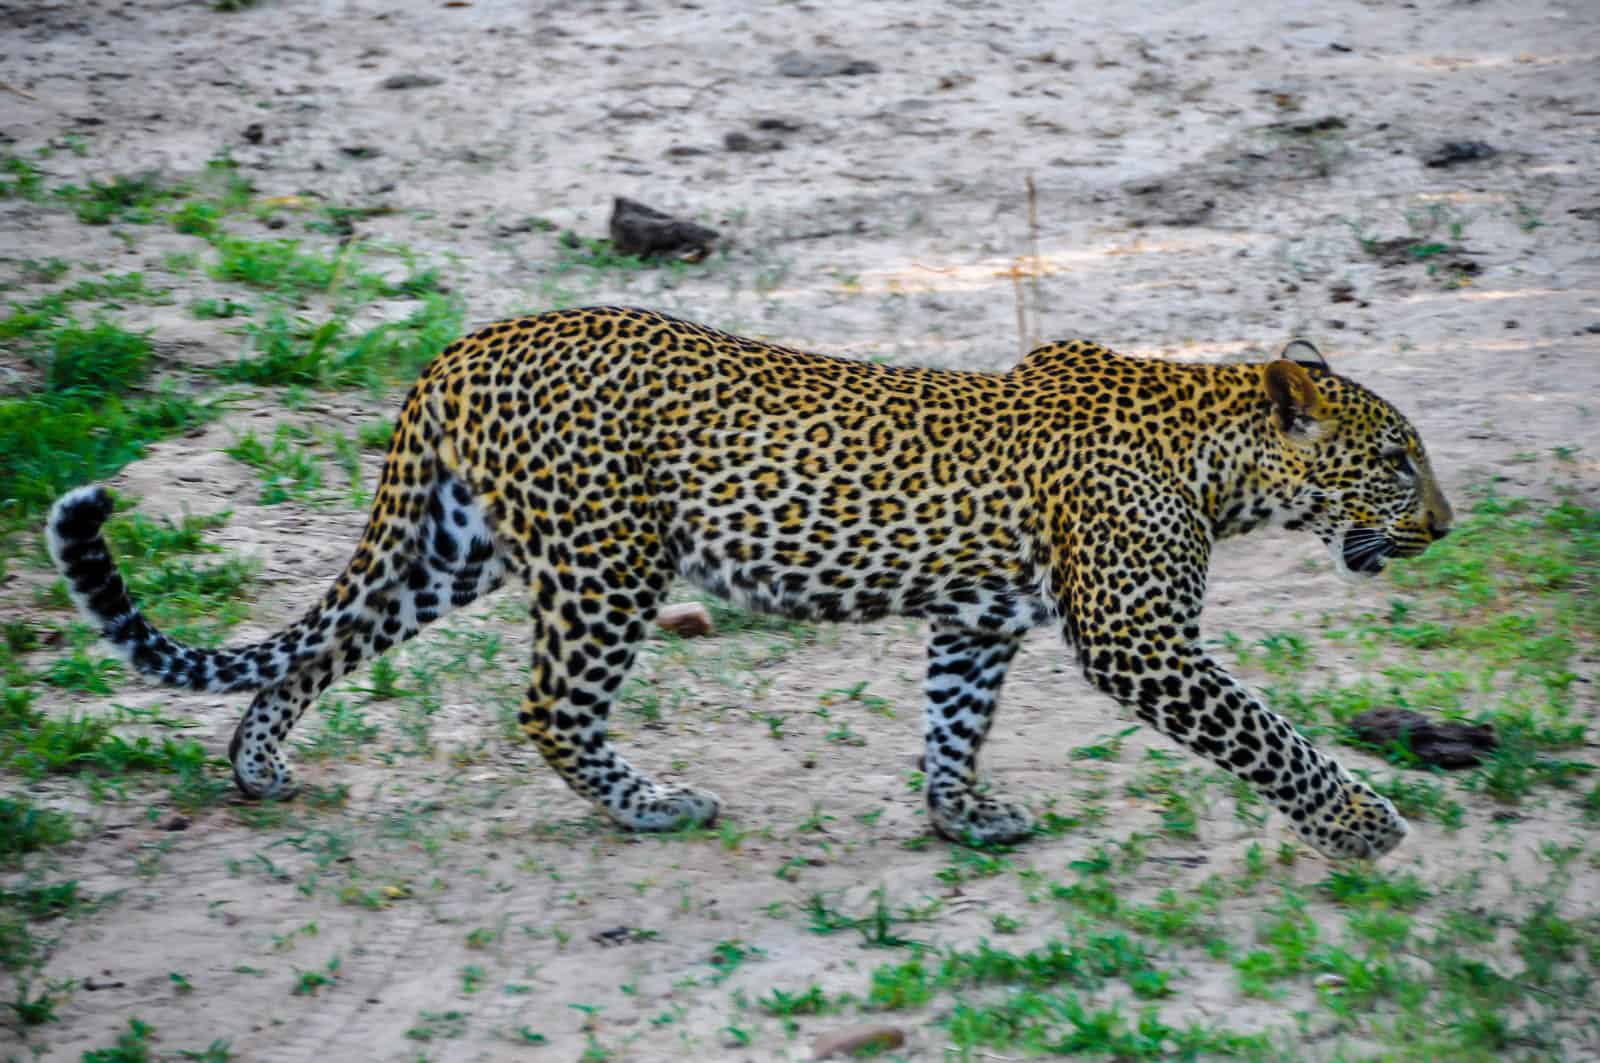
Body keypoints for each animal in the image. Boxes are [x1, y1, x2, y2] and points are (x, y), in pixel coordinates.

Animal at [47, 307, 1453, 859]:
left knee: (319, 644)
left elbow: (952, 722)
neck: (1217, 456)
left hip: (448, 549)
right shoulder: (1134, 637)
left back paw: (259, 766)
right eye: (1395, 459)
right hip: (607, 558)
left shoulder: (976, 617)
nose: (1444, 523)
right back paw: (654, 805)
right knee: (550, 708)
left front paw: (959, 815)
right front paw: (1362, 822)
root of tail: (461, 346)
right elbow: (1265, 733)